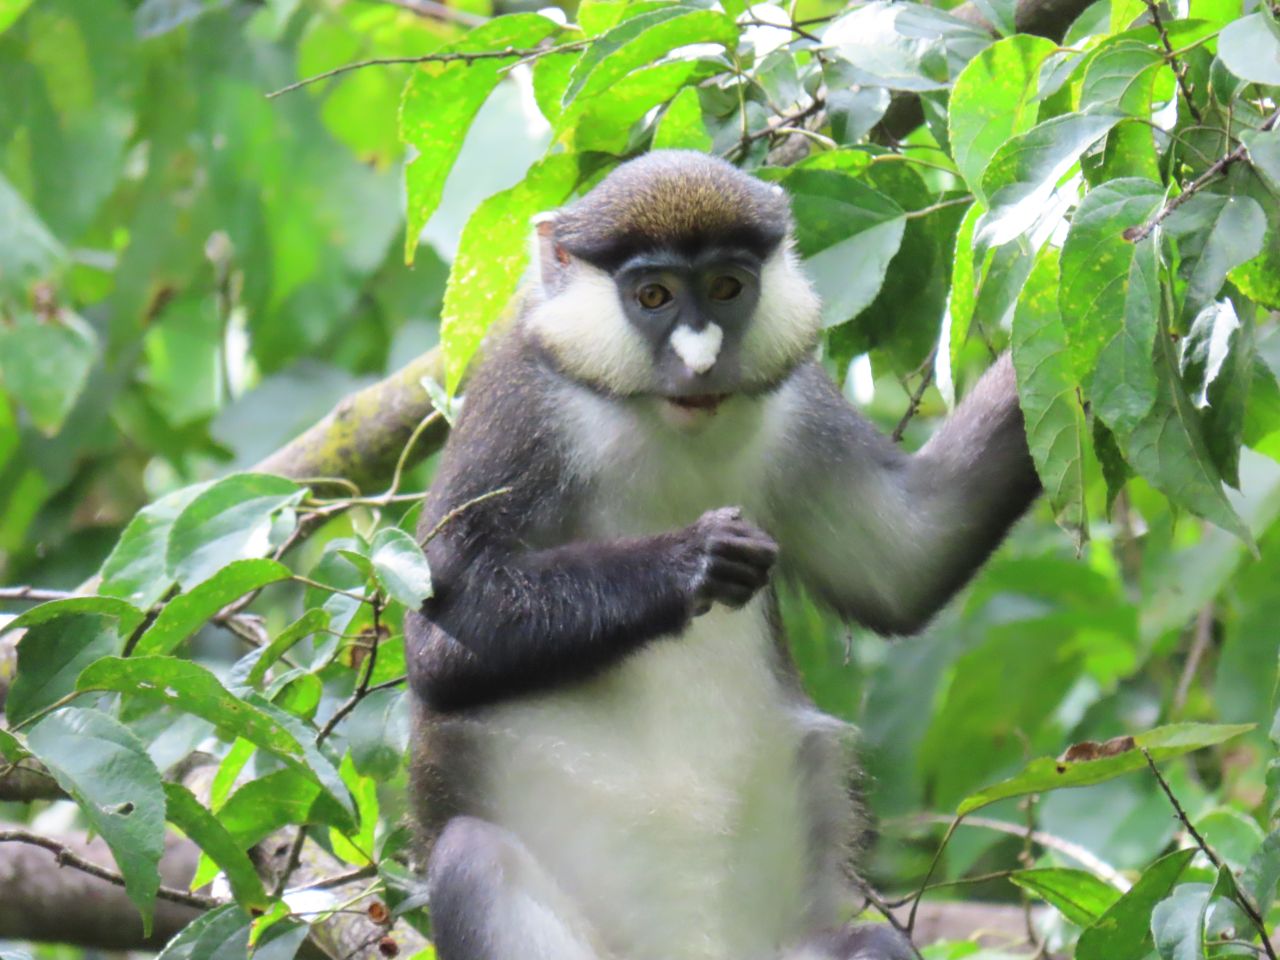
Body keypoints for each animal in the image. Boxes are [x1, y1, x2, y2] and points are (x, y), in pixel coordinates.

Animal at [404, 150, 1041, 960]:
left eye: (727, 287)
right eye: (653, 294)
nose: (702, 360)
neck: (655, 420)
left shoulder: (797, 403)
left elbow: (908, 553)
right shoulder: (521, 404)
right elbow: (441, 634)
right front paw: (694, 559)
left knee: (875, 947)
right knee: (473, 858)